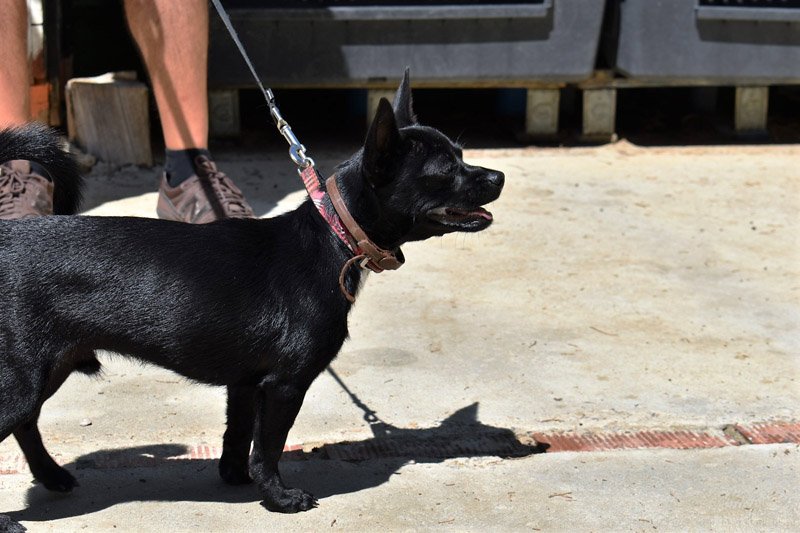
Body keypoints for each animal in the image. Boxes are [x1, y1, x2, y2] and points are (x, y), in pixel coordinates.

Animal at [0, 72, 503, 531]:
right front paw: (279, 497)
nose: (498, 175)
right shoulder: (284, 385)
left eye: (462, 155)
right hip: (24, 379)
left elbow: (238, 435)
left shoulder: (244, 384)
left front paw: (235, 477)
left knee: (27, 425)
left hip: (51, 368)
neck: (331, 236)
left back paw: (52, 476)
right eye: (446, 171)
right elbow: (269, 446)